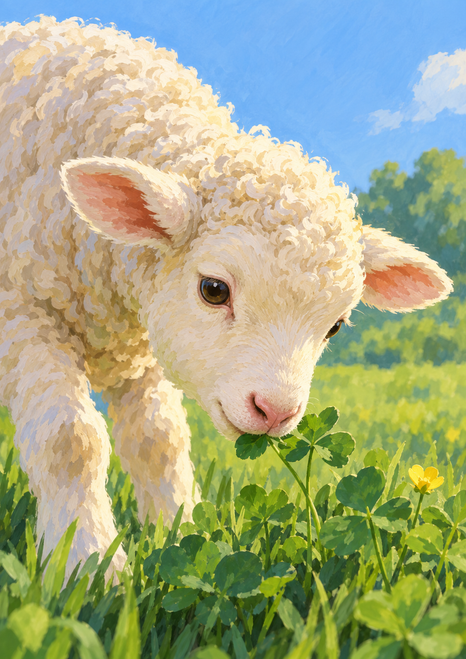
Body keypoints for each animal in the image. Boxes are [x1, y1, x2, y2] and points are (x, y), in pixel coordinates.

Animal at [0, 16, 452, 577]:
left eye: (335, 326)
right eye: (214, 290)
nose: (275, 411)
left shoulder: (140, 341)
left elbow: (160, 440)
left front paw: (179, 530)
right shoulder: (24, 313)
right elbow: (70, 442)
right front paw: (89, 565)